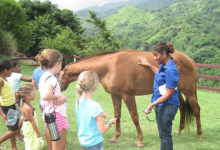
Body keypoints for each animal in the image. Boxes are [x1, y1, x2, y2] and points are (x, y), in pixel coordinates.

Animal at [58, 49, 201, 146]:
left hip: (188, 91)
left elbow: (135, 117)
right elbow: (117, 115)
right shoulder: (115, 95)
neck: (110, 67)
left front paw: (140, 141)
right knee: (182, 107)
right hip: (177, 91)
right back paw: (179, 130)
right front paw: (115, 137)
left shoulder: (128, 96)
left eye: (59, 76)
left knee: (196, 110)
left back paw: (199, 135)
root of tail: (189, 59)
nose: (59, 88)